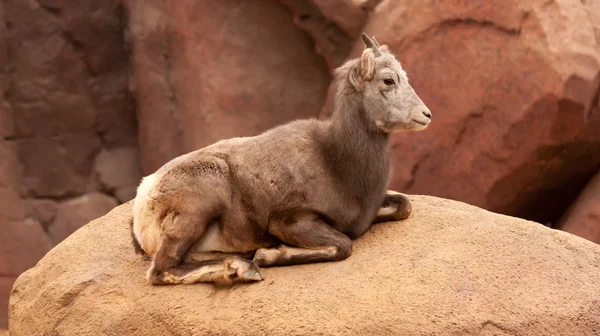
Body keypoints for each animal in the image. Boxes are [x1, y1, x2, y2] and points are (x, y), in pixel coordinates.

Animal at [131, 34, 432, 284]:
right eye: (388, 80)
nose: (426, 115)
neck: (335, 161)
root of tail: (145, 193)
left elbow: (405, 205)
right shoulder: (289, 222)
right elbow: (344, 244)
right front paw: (268, 254)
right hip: (199, 204)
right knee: (162, 270)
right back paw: (243, 269)